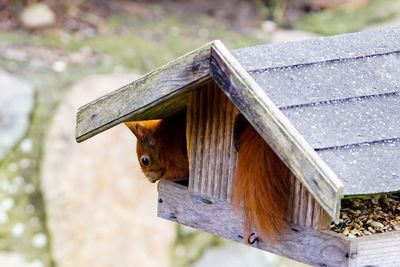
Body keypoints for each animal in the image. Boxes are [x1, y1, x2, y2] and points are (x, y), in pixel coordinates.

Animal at [125, 111, 290, 243]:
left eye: (145, 160)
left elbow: (178, 172)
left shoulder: (175, 157)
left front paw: (160, 184)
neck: (163, 142)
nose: (151, 181)